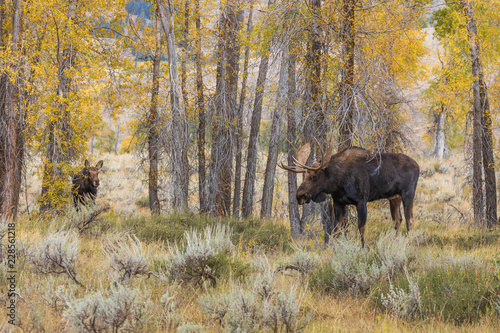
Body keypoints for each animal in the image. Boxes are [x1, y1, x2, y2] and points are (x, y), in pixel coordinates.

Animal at [280, 138, 420, 246]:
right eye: (304, 175)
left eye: (314, 176)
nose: (299, 195)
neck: (338, 183)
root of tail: (418, 166)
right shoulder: (339, 203)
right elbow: (336, 230)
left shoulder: (361, 202)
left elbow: (361, 227)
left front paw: (363, 248)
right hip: (394, 197)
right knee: (398, 219)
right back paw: (395, 241)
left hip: (408, 194)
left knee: (410, 220)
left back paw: (409, 243)